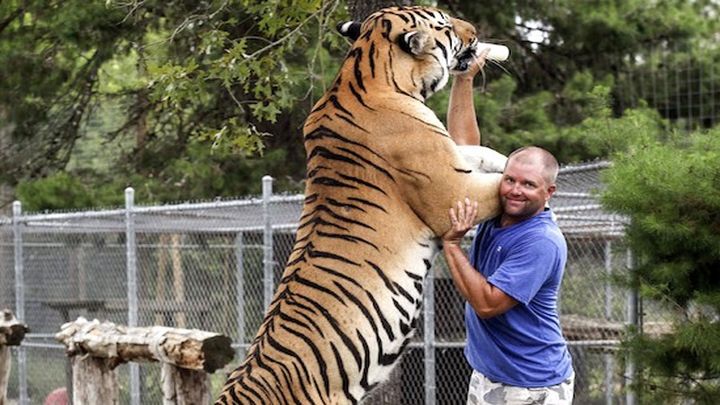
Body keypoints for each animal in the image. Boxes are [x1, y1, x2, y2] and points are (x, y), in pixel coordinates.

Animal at [218, 6, 506, 404]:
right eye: (447, 25)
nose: (475, 32)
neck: (369, 69)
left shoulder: (452, 159)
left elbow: (479, 151)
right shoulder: (453, 191)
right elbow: (497, 183)